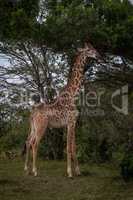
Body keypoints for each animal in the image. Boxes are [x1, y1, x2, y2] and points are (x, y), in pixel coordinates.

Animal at [23, 41, 101, 177]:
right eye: (89, 50)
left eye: (94, 48)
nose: (98, 55)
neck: (73, 95)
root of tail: (32, 113)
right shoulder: (70, 122)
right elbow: (68, 148)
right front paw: (70, 172)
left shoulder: (73, 123)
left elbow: (74, 147)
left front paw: (78, 171)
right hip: (41, 126)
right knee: (34, 143)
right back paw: (35, 171)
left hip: (33, 127)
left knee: (28, 142)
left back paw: (27, 169)